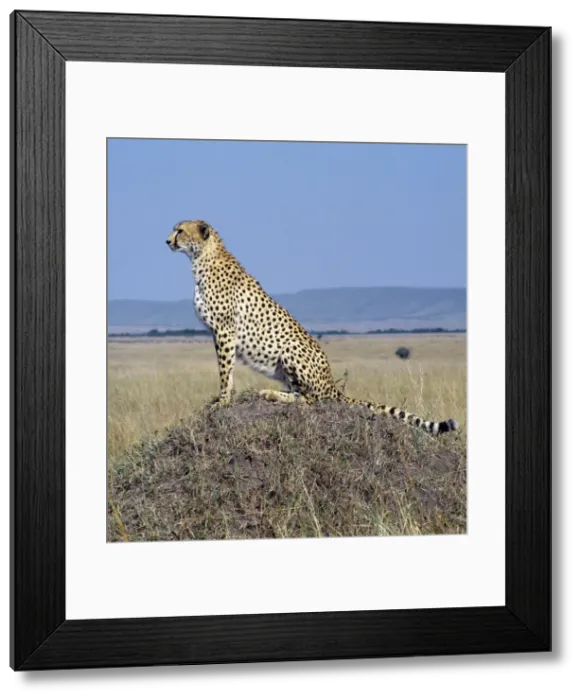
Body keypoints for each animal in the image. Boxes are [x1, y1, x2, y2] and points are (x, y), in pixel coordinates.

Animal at [166, 220, 459, 436]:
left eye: (180, 230)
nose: (167, 241)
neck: (202, 258)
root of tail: (332, 384)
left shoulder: (225, 331)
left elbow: (225, 370)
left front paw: (223, 400)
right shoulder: (220, 333)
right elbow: (227, 370)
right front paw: (224, 398)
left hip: (290, 349)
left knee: (310, 400)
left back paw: (271, 394)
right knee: (300, 393)